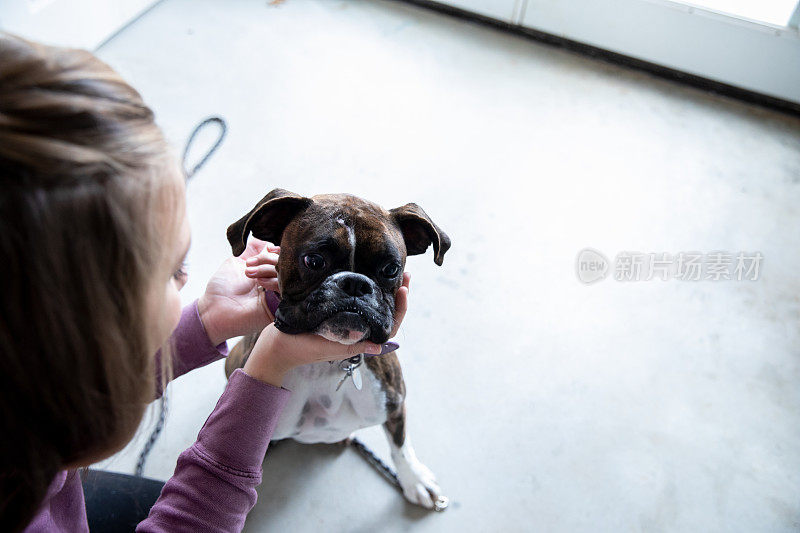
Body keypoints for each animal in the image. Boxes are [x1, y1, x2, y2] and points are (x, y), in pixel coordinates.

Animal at [225, 189, 450, 510]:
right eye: (314, 261)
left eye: (391, 269)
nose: (355, 284)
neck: (330, 363)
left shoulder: (395, 404)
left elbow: (400, 443)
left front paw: (413, 478)